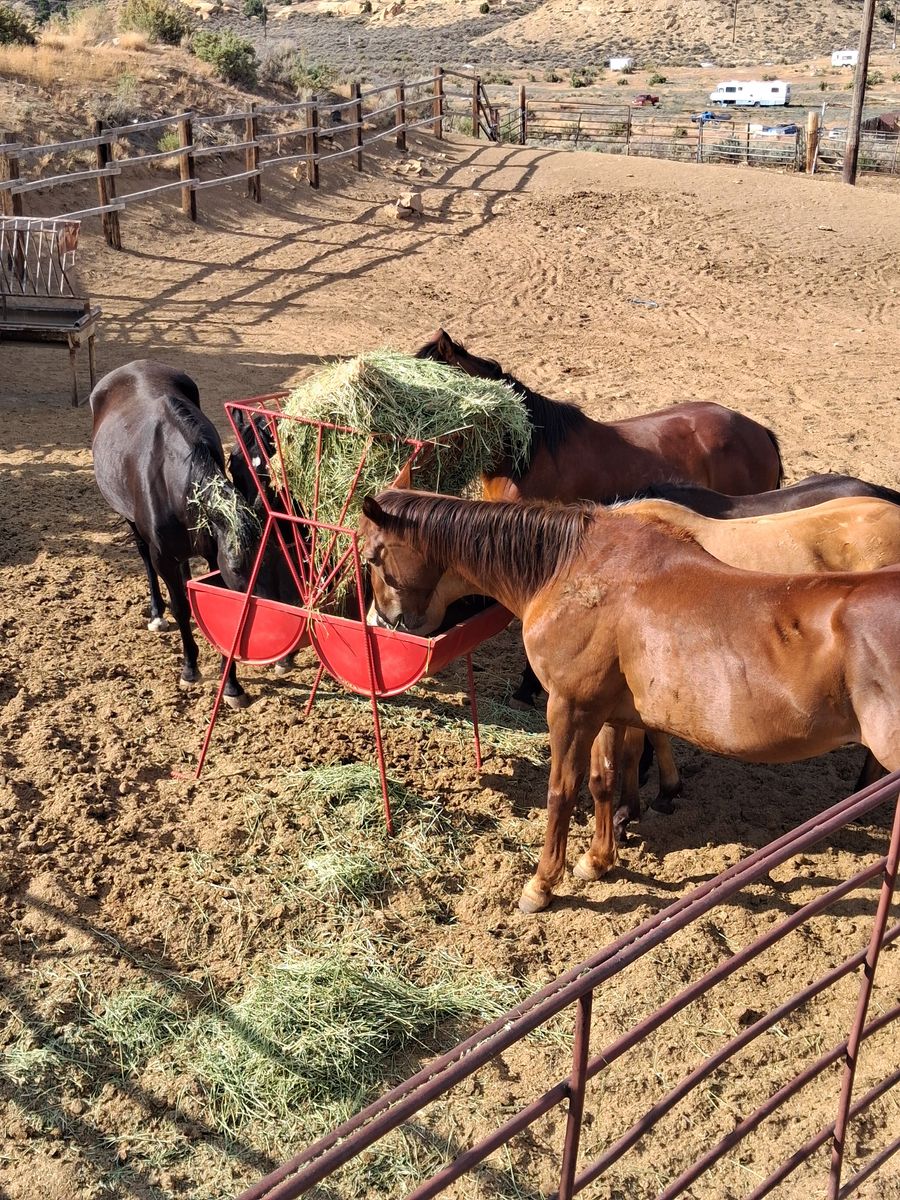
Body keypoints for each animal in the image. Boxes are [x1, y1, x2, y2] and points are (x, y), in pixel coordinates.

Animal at [91, 360, 262, 708]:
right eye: (237, 566)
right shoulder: (164, 557)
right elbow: (181, 607)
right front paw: (190, 667)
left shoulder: (211, 555)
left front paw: (231, 685)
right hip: (133, 525)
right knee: (146, 560)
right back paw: (158, 612)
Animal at [359, 489, 900, 913]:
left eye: (371, 558)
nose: (383, 623)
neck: (571, 570)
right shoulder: (608, 713)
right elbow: (603, 781)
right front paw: (599, 859)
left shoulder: (569, 707)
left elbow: (561, 792)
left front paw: (542, 883)